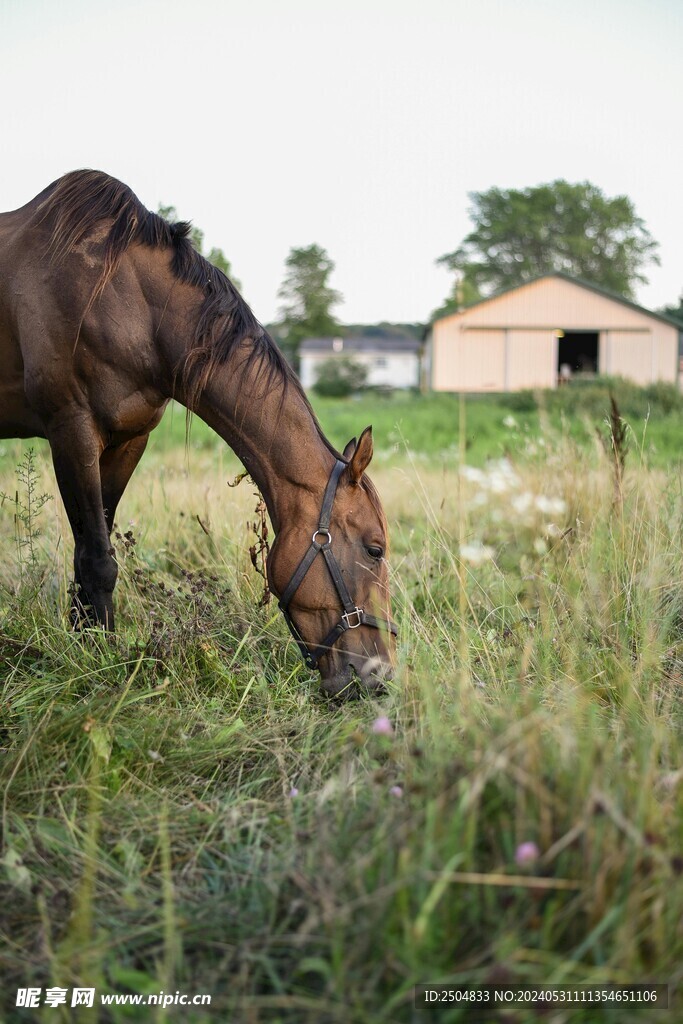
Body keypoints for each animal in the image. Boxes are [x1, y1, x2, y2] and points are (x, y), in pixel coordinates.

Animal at [0, 170, 396, 698]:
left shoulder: (128, 440)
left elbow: (91, 554)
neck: (124, 300)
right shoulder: (72, 430)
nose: (380, 675)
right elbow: (97, 559)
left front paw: (87, 640)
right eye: (374, 549)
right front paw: (97, 658)